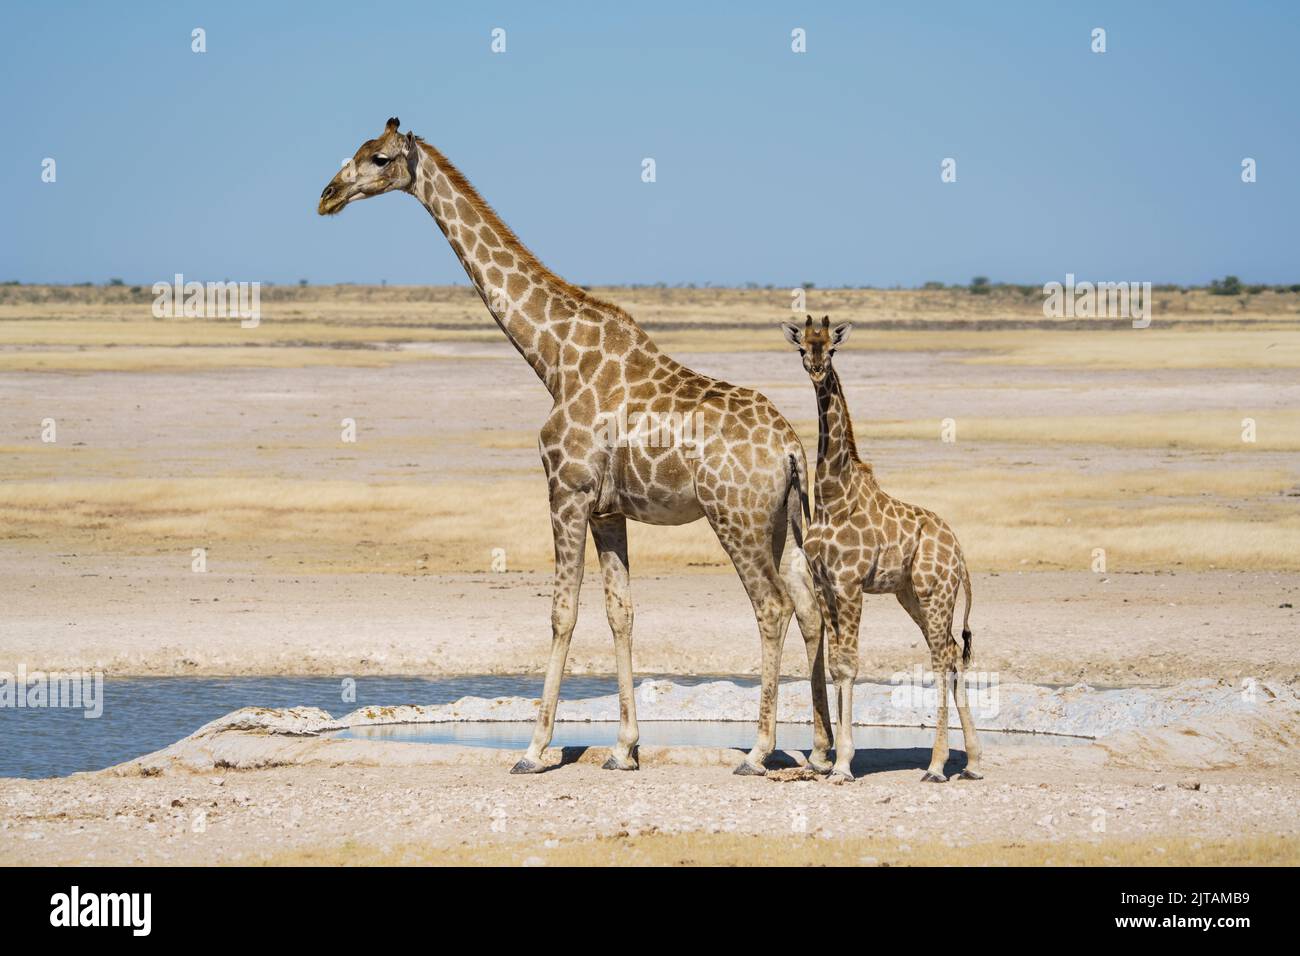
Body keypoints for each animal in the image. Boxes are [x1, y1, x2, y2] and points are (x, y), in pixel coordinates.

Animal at [319, 119, 837, 780]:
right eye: (356, 153)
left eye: (379, 159)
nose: (328, 196)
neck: (553, 358)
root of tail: (792, 447)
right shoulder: (608, 510)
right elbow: (621, 612)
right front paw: (623, 749)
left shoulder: (565, 492)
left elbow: (562, 610)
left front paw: (533, 750)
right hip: (782, 519)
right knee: (808, 606)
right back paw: (818, 751)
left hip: (734, 516)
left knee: (770, 607)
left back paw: (757, 751)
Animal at [780, 317, 982, 780]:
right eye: (802, 346)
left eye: (831, 348)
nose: (816, 368)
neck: (833, 496)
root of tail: (960, 554)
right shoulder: (826, 586)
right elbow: (836, 663)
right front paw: (834, 759)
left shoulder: (850, 584)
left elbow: (850, 664)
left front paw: (844, 763)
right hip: (912, 595)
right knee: (952, 654)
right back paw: (974, 761)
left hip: (935, 592)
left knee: (941, 657)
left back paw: (937, 765)